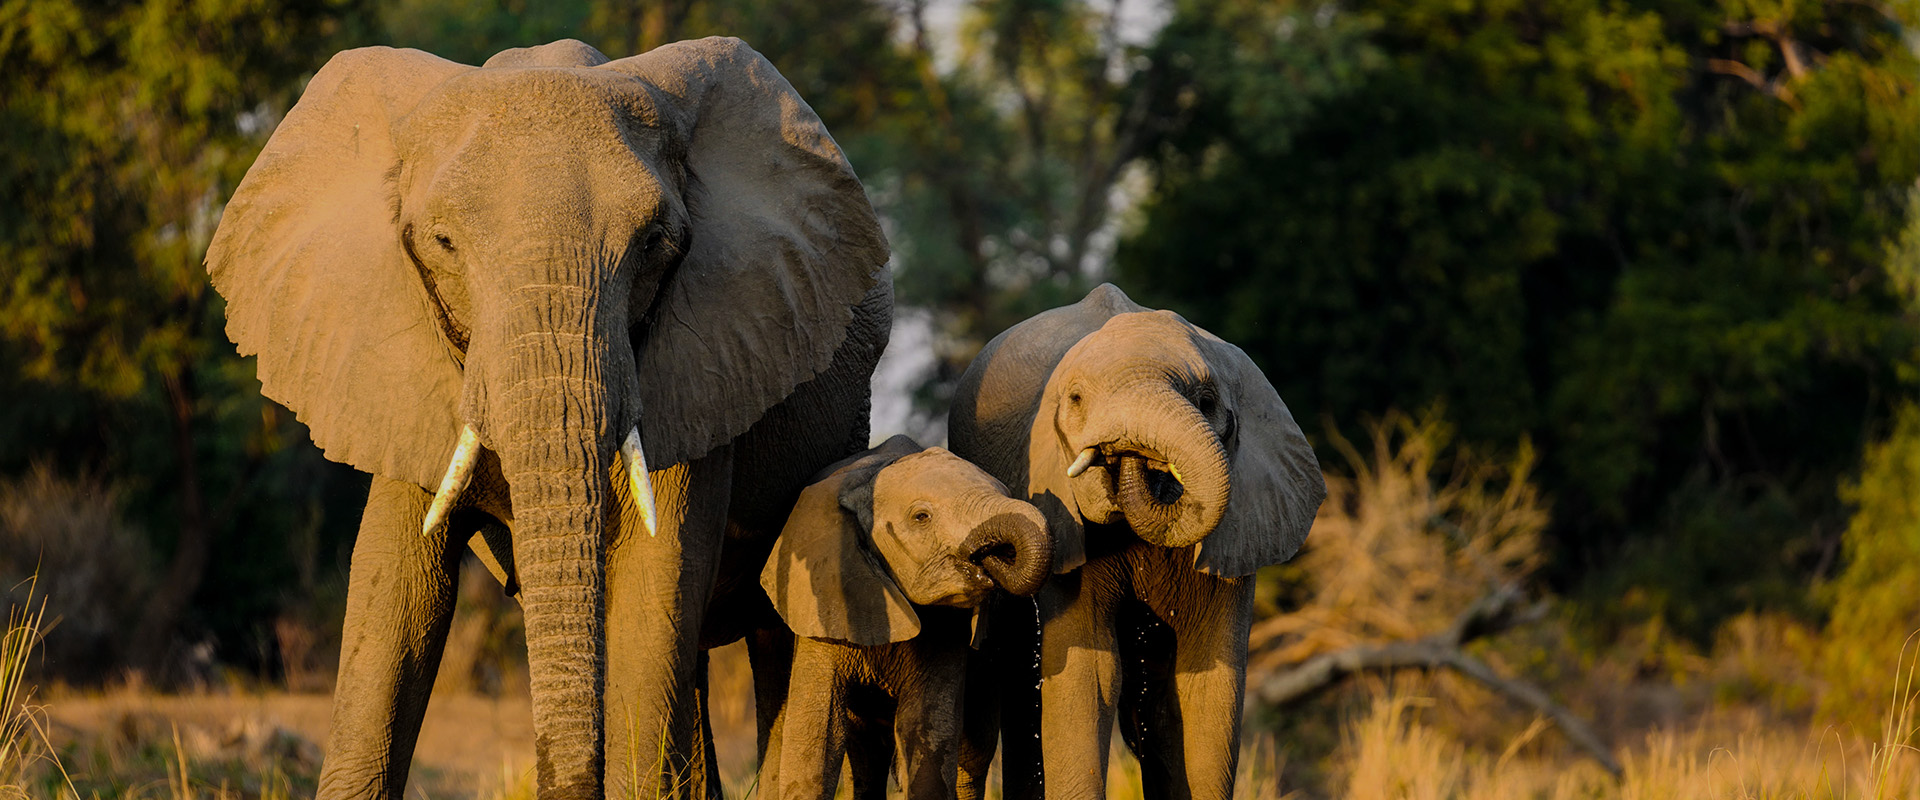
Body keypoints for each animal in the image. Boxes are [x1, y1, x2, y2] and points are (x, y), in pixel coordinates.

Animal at [204, 36, 890, 800]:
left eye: (655, 241)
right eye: (442, 242)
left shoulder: (706, 360)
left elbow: (654, 586)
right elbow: (393, 600)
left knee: (770, 646)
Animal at [756, 435, 1052, 800]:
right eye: (921, 517)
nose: (991, 557)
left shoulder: (946, 627)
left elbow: (925, 727)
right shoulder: (823, 604)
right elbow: (816, 733)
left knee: (971, 754)